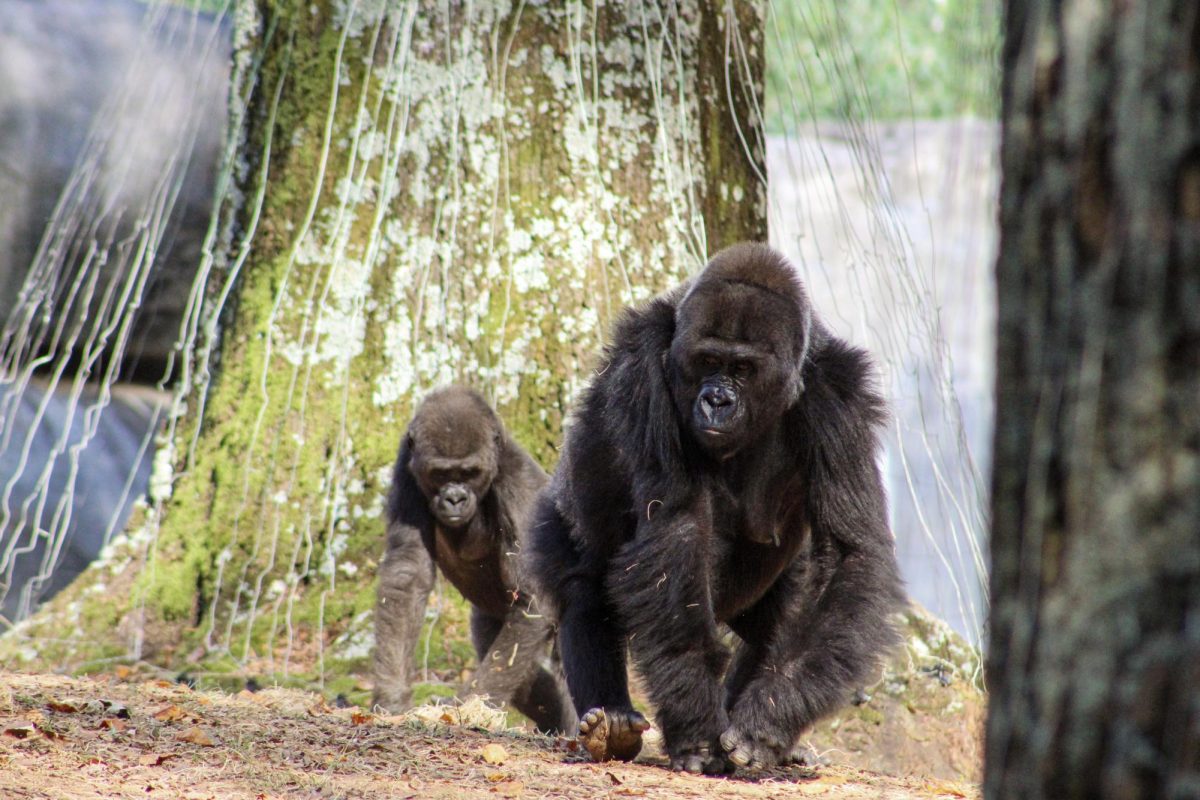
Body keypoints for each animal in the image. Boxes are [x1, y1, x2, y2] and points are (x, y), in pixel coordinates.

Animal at [372, 383, 573, 734]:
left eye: (469, 472)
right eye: (440, 474)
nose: (454, 498)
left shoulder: (519, 489)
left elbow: (534, 600)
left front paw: (466, 707)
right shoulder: (406, 468)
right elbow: (407, 575)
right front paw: (392, 697)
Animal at [525, 245, 902, 777]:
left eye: (742, 369)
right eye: (706, 361)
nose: (717, 400)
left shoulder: (838, 394)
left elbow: (850, 553)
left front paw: (770, 718)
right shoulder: (643, 367)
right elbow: (677, 532)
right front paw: (697, 728)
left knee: (776, 626)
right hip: (557, 511)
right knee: (584, 587)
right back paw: (610, 725)